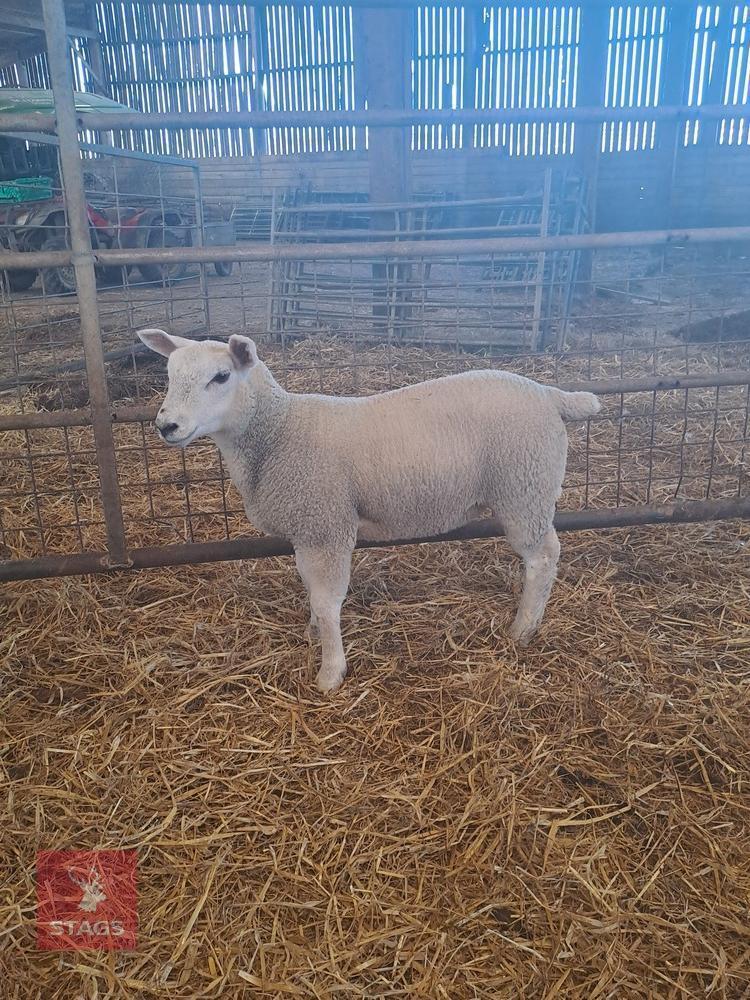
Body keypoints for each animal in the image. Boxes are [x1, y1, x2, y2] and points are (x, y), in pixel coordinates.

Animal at [138, 329, 601, 692]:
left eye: (221, 376)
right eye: (169, 375)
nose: (166, 425)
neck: (277, 431)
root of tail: (549, 393)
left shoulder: (326, 526)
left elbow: (328, 601)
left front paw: (330, 672)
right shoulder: (308, 530)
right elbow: (311, 589)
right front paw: (313, 632)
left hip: (525, 490)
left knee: (543, 557)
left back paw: (523, 629)